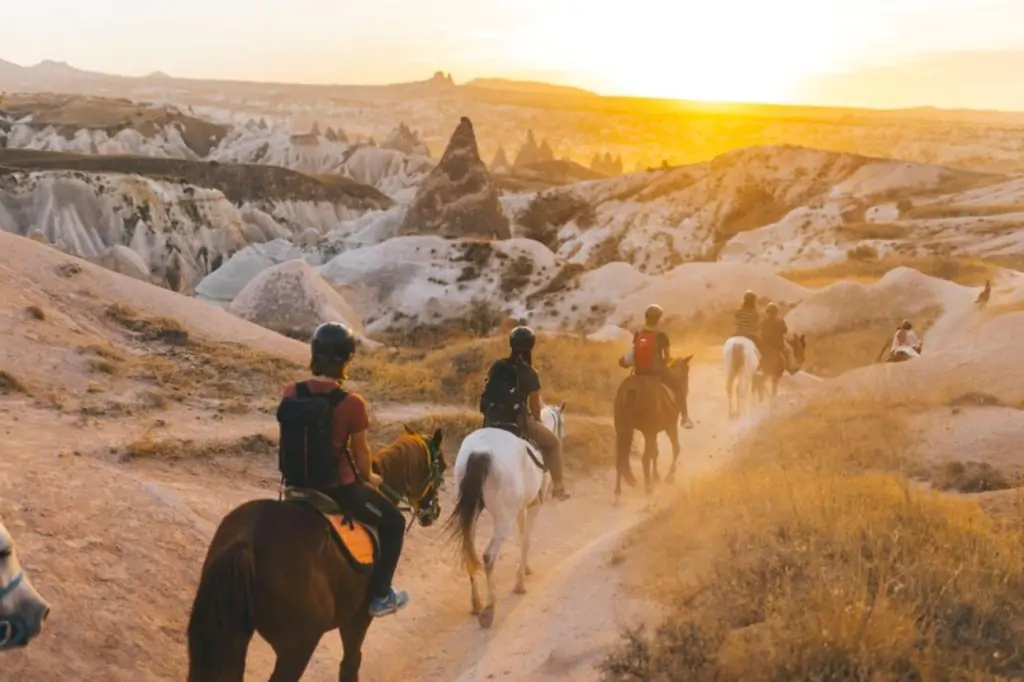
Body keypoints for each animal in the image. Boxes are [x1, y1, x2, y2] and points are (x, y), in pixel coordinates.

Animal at [186, 425, 446, 679]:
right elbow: (350, 663)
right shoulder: (359, 617)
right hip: (298, 645)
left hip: (234, 637)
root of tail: (247, 540)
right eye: (441, 468)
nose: (434, 512)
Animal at [444, 401, 565, 630]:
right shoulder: (534, 505)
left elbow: (522, 535)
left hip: (472, 512)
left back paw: (476, 604)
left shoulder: (520, 508)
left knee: (468, 549)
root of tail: (480, 452)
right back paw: (489, 609)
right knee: (488, 556)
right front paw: (520, 583)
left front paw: (525, 569)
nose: (563, 438)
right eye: (562, 424)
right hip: (502, 519)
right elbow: (526, 540)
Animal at [610, 356, 692, 493]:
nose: (686, 389)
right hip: (648, 431)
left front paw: (656, 476)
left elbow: (655, 452)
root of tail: (631, 390)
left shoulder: (653, 431)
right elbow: (675, 448)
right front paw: (669, 477)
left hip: (622, 429)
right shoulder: (669, 426)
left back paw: (619, 489)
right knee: (644, 458)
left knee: (621, 457)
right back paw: (648, 488)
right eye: (687, 371)